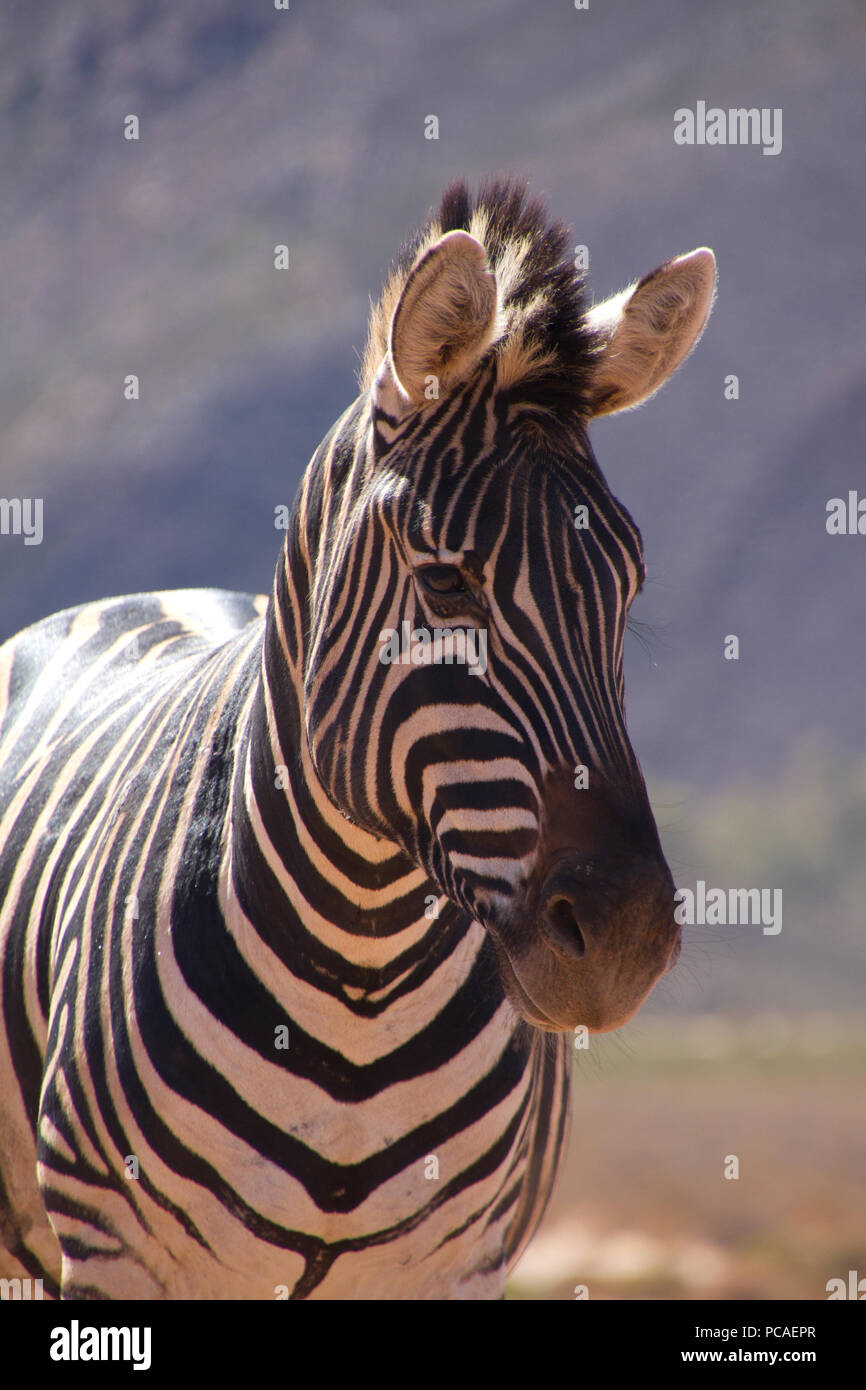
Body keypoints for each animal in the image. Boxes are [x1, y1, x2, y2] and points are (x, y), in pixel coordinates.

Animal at [0, 179, 715, 1301]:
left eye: (626, 587)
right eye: (445, 584)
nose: (623, 941)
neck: (357, 979)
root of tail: (151, 594)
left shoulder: (454, 1267)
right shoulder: (118, 1261)